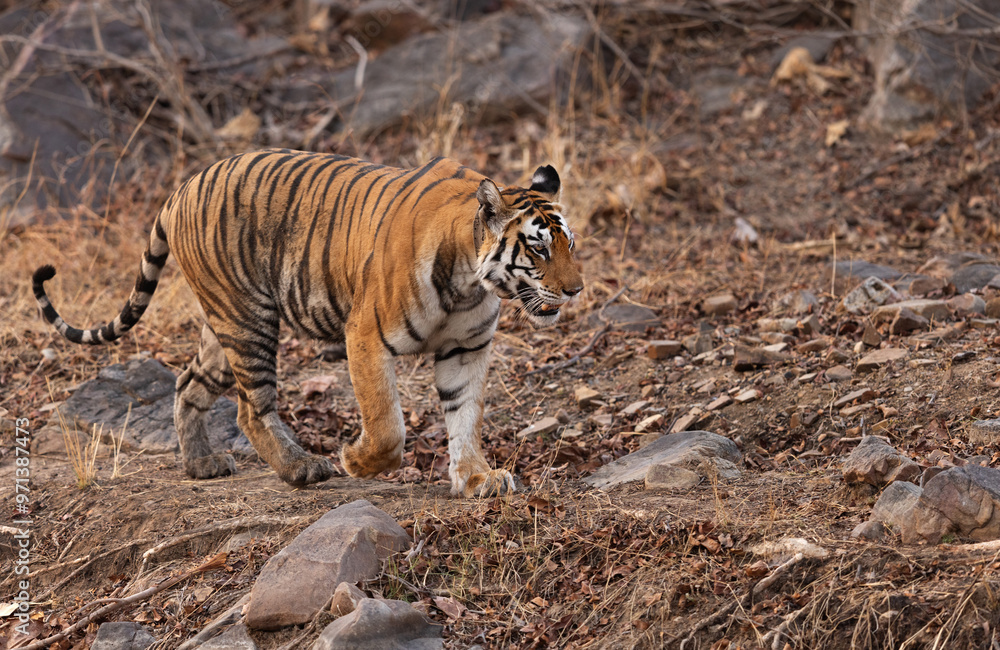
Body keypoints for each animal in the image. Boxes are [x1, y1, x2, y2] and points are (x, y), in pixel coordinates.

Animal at [32, 150, 583, 497]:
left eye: (570, 243)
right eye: (538, 248)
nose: (576, 290)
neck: (469, 280)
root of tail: (179, 191)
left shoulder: (467, 349)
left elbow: (465, 417)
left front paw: (477, 479)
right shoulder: (365, 337)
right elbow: (388, 426)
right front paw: (354, 461)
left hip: (222, 323)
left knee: (189, 381)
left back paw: (201, 464)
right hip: (249, 319)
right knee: (251, 409)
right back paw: (303, 467)